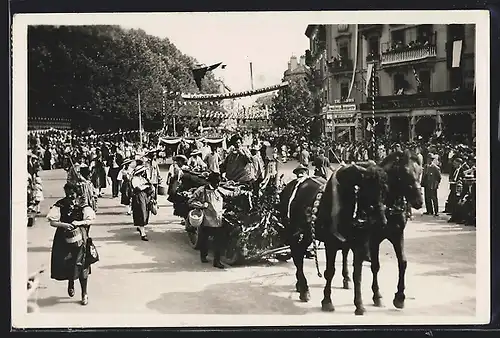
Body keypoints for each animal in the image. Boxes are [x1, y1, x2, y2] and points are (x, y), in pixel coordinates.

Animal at [280, 161, 388, 314]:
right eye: (368, 188)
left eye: (384, 190)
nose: (382, 222)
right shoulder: (330, 244)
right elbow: (329, 272)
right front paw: (327, 301)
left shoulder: (359, 245)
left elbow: (358, 275)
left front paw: (359, 305)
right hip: (292, 231)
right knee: (296, 255)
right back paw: (304, 289)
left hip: (308, 233)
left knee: (299, 253)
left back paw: (300, 285)